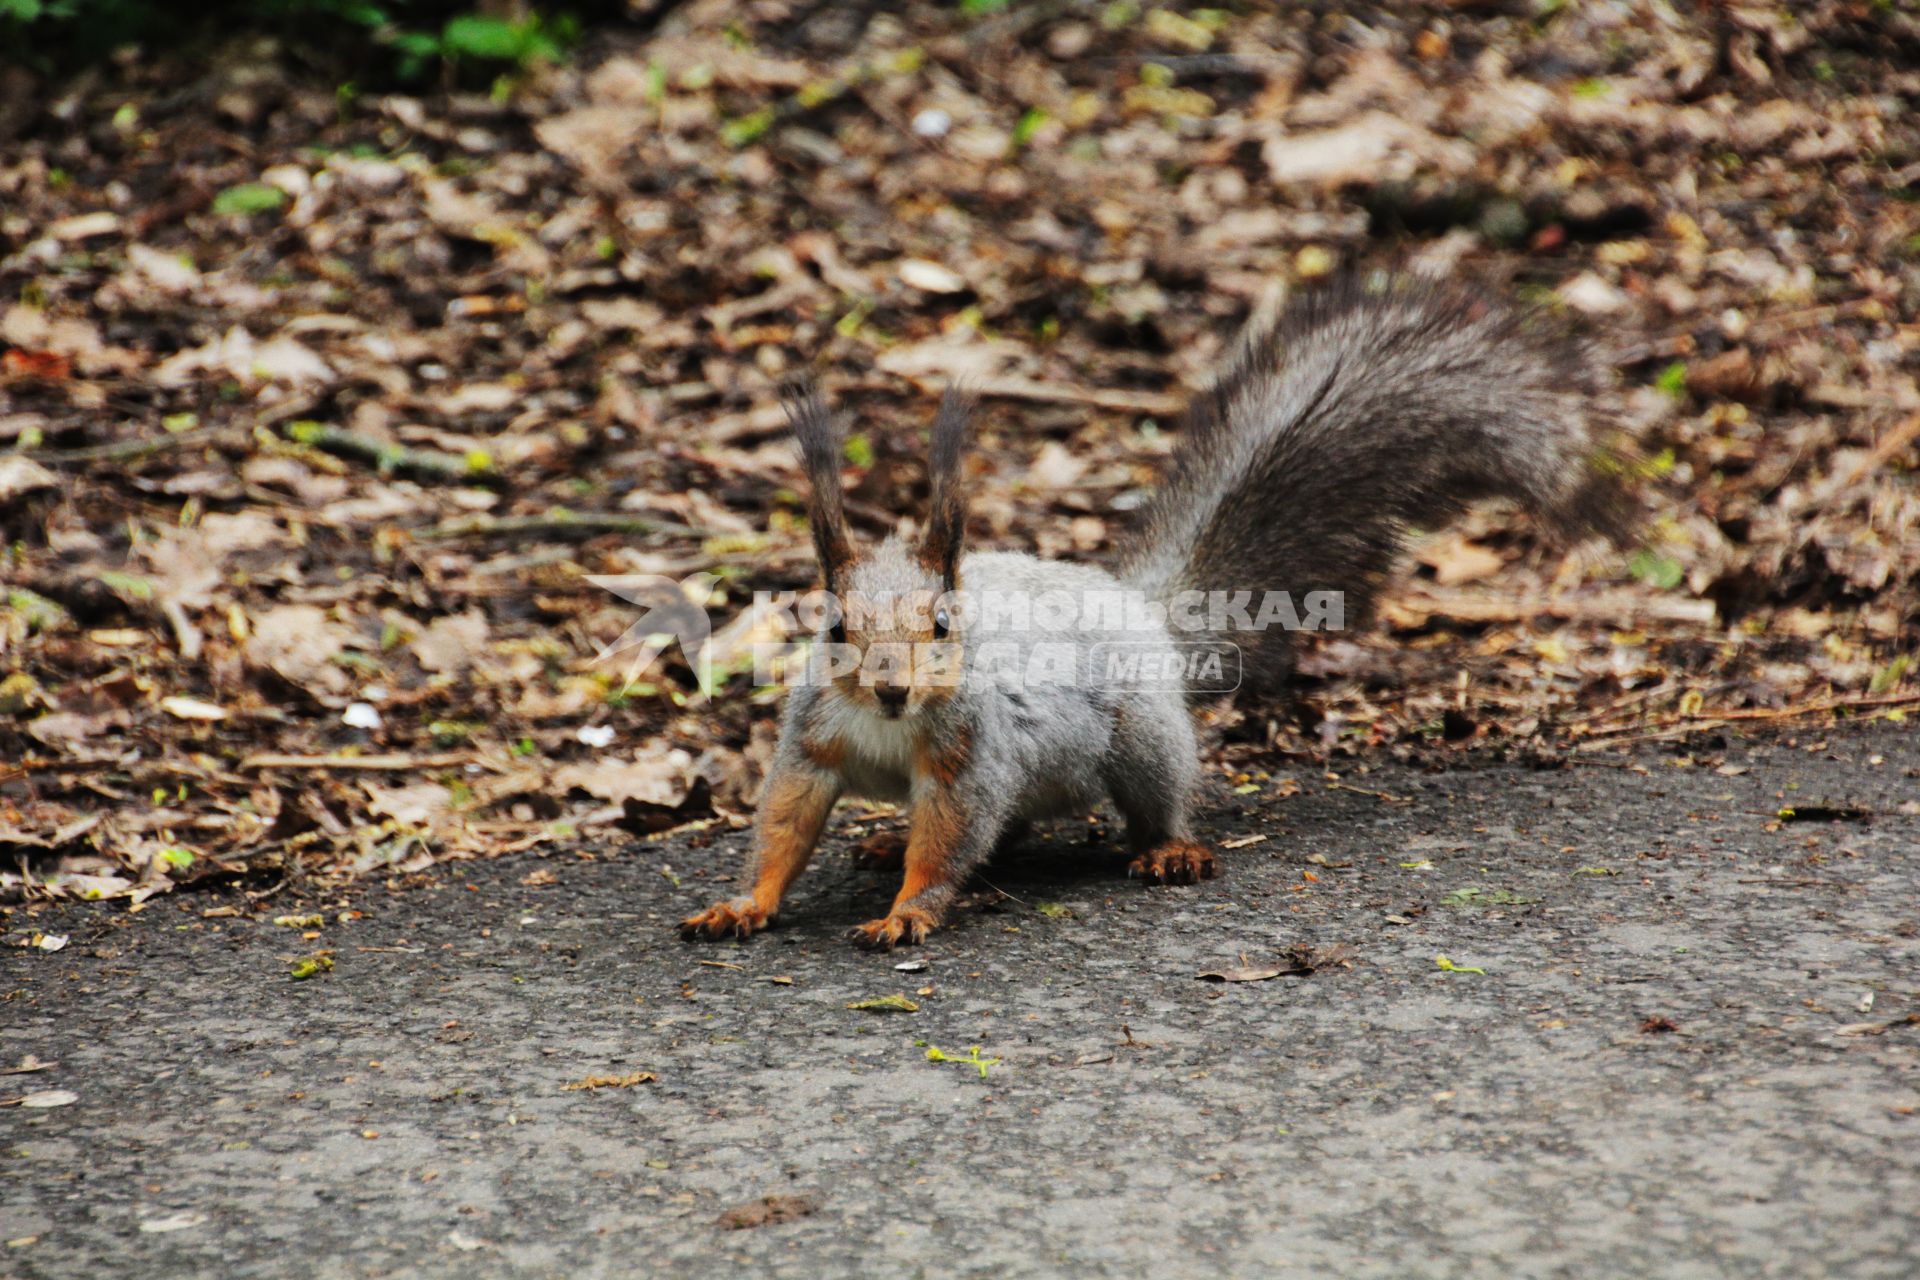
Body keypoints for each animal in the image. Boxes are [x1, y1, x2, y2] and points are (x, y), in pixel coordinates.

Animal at [683, 278, 1628, 951]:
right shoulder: (813, 741)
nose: (890, 691)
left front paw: (908, 909)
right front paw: (743, 903)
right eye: (836, 629)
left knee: (1144, 796)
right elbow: (784, 824)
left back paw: (1170, 847)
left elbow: (949, 837)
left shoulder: (969, 755)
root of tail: (1138, 609)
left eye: (943, 627)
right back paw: (888, 839)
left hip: (1140, 733)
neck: (887, 732)